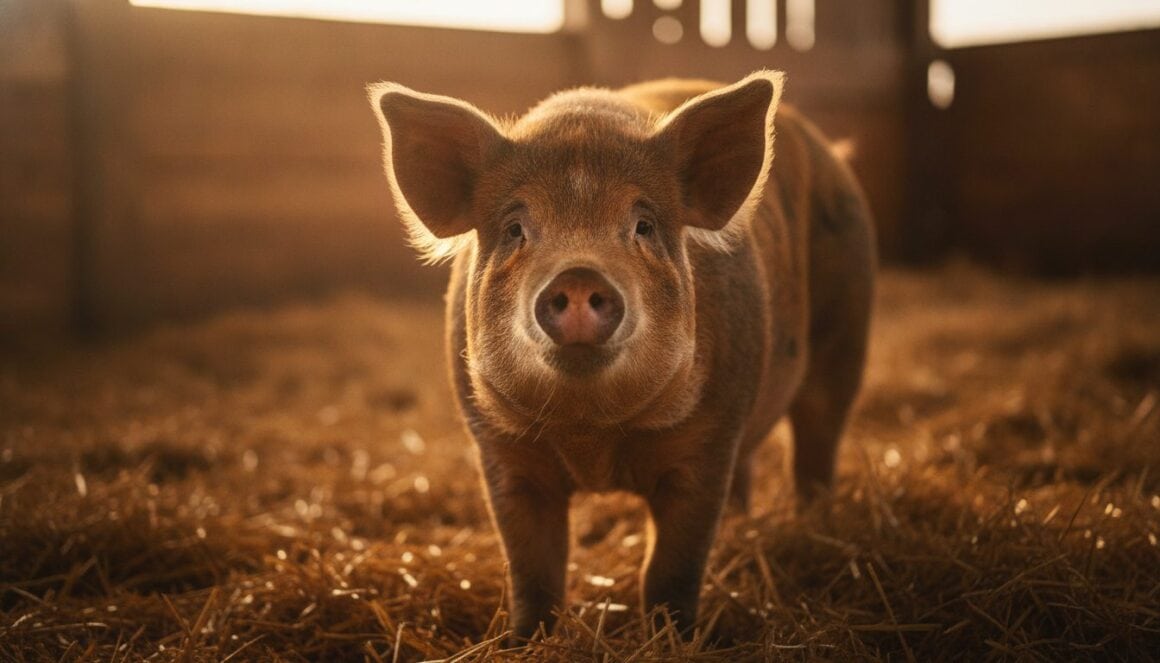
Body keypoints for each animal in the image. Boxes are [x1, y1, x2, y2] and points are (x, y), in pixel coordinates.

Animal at [369, 70, 875, 639]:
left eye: (644, 226)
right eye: (515, 228)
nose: (577, 274)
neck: (592, 439)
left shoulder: (707, 446)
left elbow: (673, 567)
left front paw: (673, 637)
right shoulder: (501, 454)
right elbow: (532, 567)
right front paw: (526, 640)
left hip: (846, 334)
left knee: (818, 440)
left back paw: (816, 523)